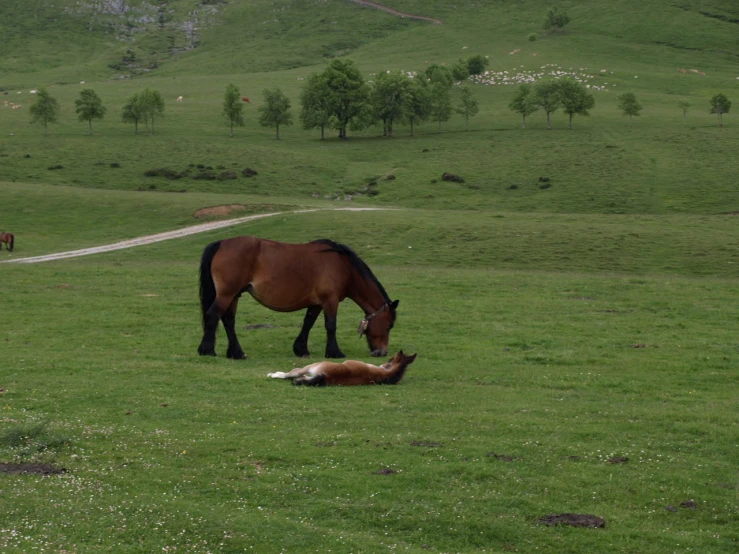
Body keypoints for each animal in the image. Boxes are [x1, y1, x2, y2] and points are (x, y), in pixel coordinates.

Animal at [198, 236, 398, 358]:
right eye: (389, 325)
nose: (382, 352)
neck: (344, 266)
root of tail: (222, 243)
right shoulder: (330, 301)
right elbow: (331, 326)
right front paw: (334, 352)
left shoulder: (317, 304)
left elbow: (308, 323)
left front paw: (301, 349)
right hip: (227, 294)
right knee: (213, 315)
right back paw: (207, 350)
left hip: (234, 295)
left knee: (228, 321)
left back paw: (236, 353)